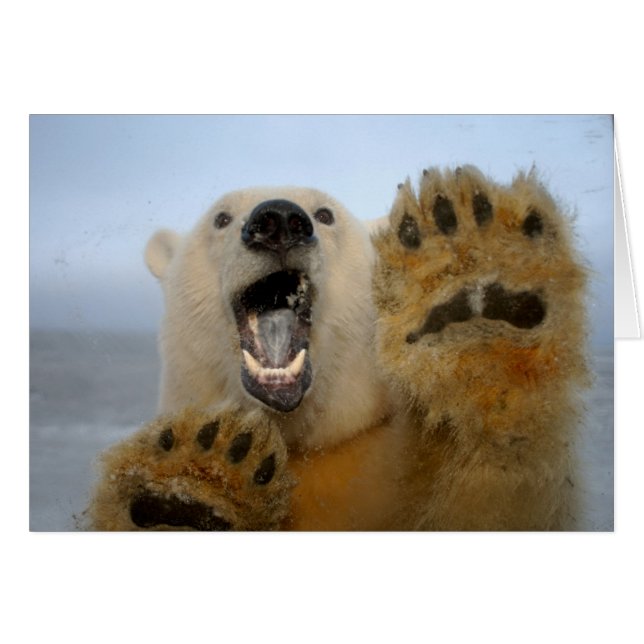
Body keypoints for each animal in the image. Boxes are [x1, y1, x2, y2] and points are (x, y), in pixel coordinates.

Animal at [86, 165, 589, 531]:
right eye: (221, 218)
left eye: (326, 214)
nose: (278, 221)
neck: (304, 442)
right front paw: (184, 485)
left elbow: (497, 502)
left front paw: (476, 284)